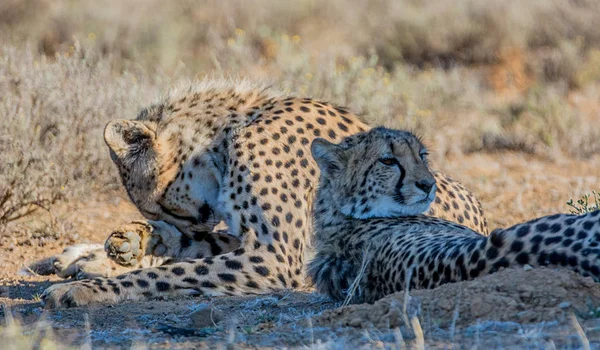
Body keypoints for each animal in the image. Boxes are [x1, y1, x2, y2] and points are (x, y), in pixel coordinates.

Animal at [39, 78, 488, 308]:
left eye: (166, 205)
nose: (181, 225)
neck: (224, 135)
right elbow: (190, 251)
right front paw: (134, 241)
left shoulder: (275, 257)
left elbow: (168, 273)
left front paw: (86, 290)